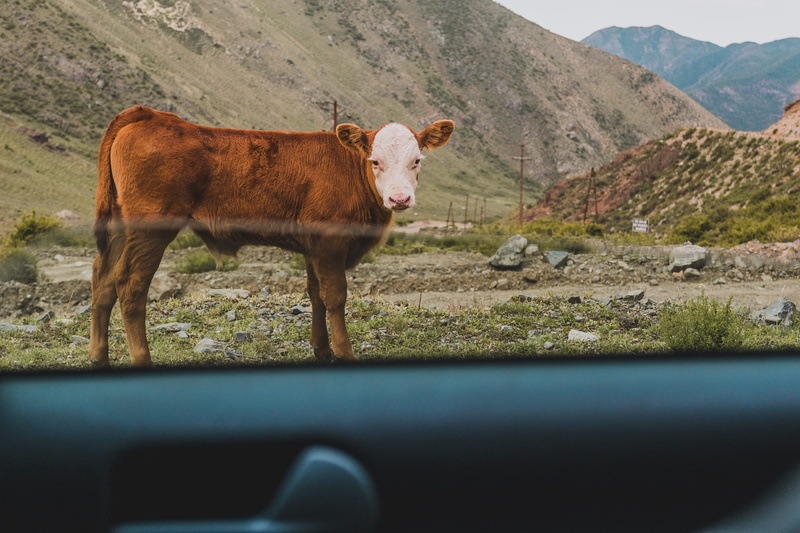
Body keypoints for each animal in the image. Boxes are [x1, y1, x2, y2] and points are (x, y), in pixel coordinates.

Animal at [88, 106, 454, 367]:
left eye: (417, 160)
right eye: (374, 161)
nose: (400, 199)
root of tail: (150, 114)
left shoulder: (314, 247)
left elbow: (315, 294)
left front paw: (321, 348)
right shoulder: (331, 242)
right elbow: (335, 296)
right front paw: (344, 352)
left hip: (120, 224)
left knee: (102, 278)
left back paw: (98, 355)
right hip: (150, 227)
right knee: (130, 283)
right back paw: (141, 359)